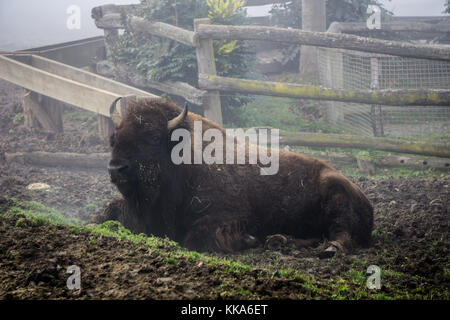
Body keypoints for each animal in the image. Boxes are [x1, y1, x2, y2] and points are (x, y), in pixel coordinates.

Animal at [95, 98, 372, 258]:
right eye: (114, 137)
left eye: (153, 137)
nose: (116, 169)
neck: (185, 163)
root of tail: (363, 196)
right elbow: (105, 212)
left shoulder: (225, 216)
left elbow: (196, 238)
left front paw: (249, 239)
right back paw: (278, 241)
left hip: (337, 199)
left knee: (341, 234)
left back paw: (327, 249)